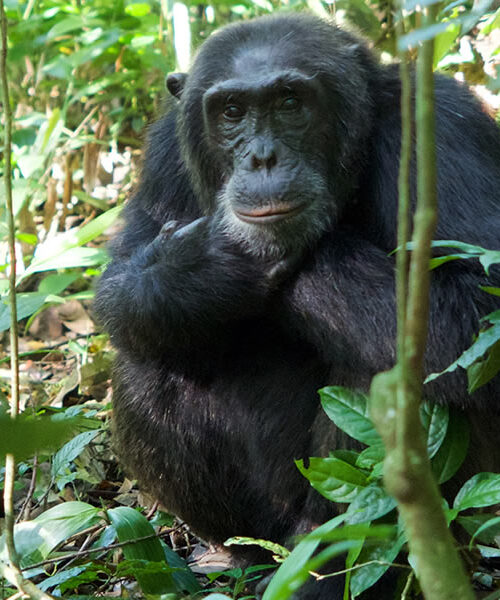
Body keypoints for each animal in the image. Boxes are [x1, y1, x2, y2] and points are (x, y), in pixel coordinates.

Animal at [94, 11, 500, 596]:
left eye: (290, 102)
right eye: (232, 112)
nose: (263, 158)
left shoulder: (444, 127)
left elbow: (479, 309)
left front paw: (233, 256)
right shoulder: (166, 151)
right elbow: (122, 281)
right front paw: (197, 270)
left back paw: (324, 569)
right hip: (263, 521)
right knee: (148, 364)